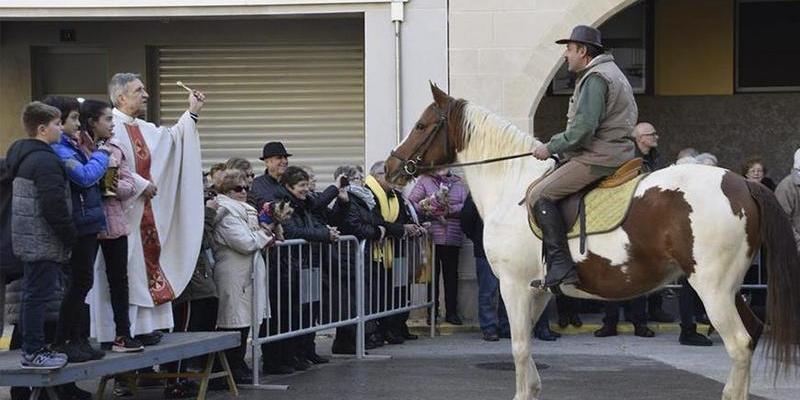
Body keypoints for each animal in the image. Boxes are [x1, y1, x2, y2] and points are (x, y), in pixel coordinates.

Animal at [382, 83, 800, 398]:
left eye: (421, 125)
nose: (389, 168)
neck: (511, 185)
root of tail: (741, 183)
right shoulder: (537, 290)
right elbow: (528, 347)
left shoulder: (514, 286)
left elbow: (519, 347)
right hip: (730, 288)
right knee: (752, 334)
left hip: (712, 288)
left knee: (740, 344)